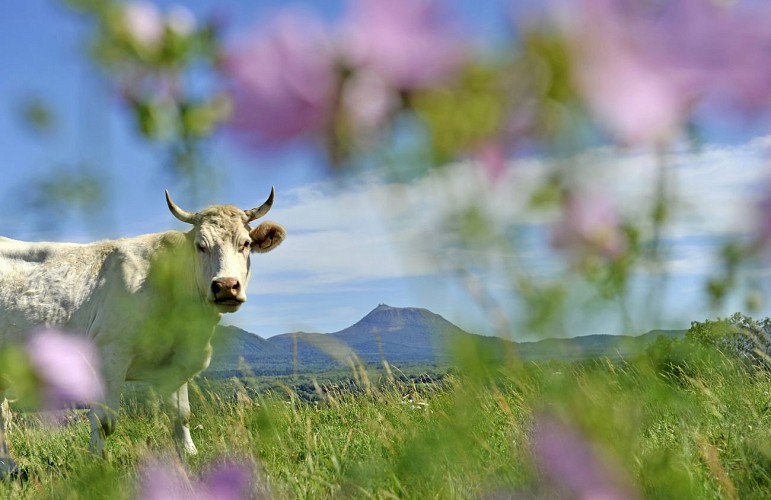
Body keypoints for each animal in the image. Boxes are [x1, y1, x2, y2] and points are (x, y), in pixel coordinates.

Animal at [0, 186, 286, 474]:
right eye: (201, 246)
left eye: (246, 243)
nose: (226, 285)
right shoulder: (110, 355)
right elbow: (104, 420)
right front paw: (96, 466)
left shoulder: (176, 365)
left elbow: (181, 415)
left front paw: (189, 454)